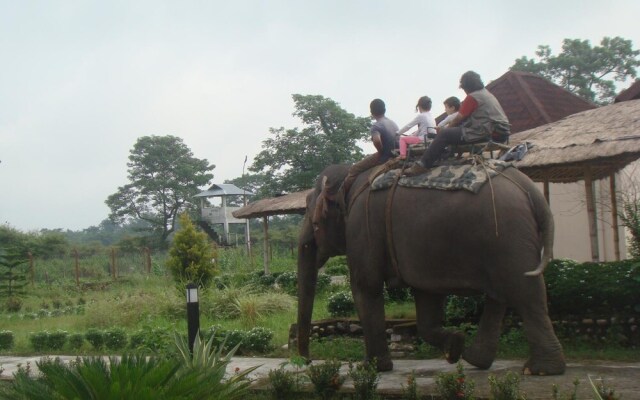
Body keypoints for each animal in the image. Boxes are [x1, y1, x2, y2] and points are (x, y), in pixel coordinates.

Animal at [296, 162, 564, 376]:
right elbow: (426, 297)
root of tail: (531, 190)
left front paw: (370, 368)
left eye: (310, 212)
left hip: (507, 236)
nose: (305, 361)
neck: (349, 178)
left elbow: (366, 286)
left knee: (525, 292)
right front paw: (454, 346)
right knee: (501, 295)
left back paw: (541, 370)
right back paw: (476, 359)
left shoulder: (362, 226)